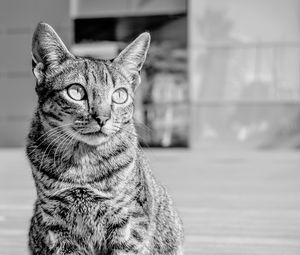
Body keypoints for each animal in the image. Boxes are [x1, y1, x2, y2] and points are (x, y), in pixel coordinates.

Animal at [25, 22, 184, 255]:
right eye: (76, 92)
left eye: (119, 95)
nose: (103, 118)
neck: (83, 164)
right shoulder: (55, 225)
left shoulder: (129, 225)